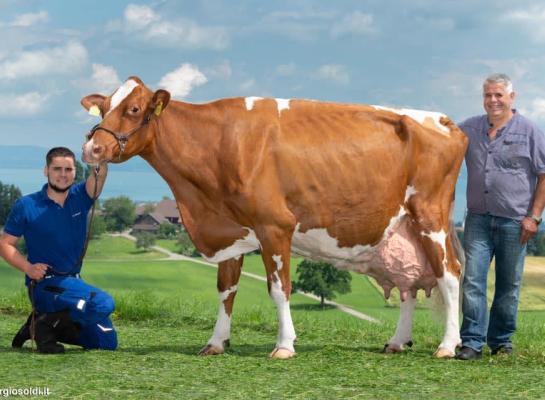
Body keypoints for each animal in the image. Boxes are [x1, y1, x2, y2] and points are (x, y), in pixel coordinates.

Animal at [81, 76, 468, 360]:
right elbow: (226, 290)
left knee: (449, 276)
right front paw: (216, 343)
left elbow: (279, 288)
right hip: (403, 229)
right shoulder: (232, 230)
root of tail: (445, 120)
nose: (91, 148)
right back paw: (397, 341)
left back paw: (448, 346)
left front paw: (284, 345)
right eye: (103, 108)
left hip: (430, 217)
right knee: (408, 286)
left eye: (133, 108)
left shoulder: (274, 227)